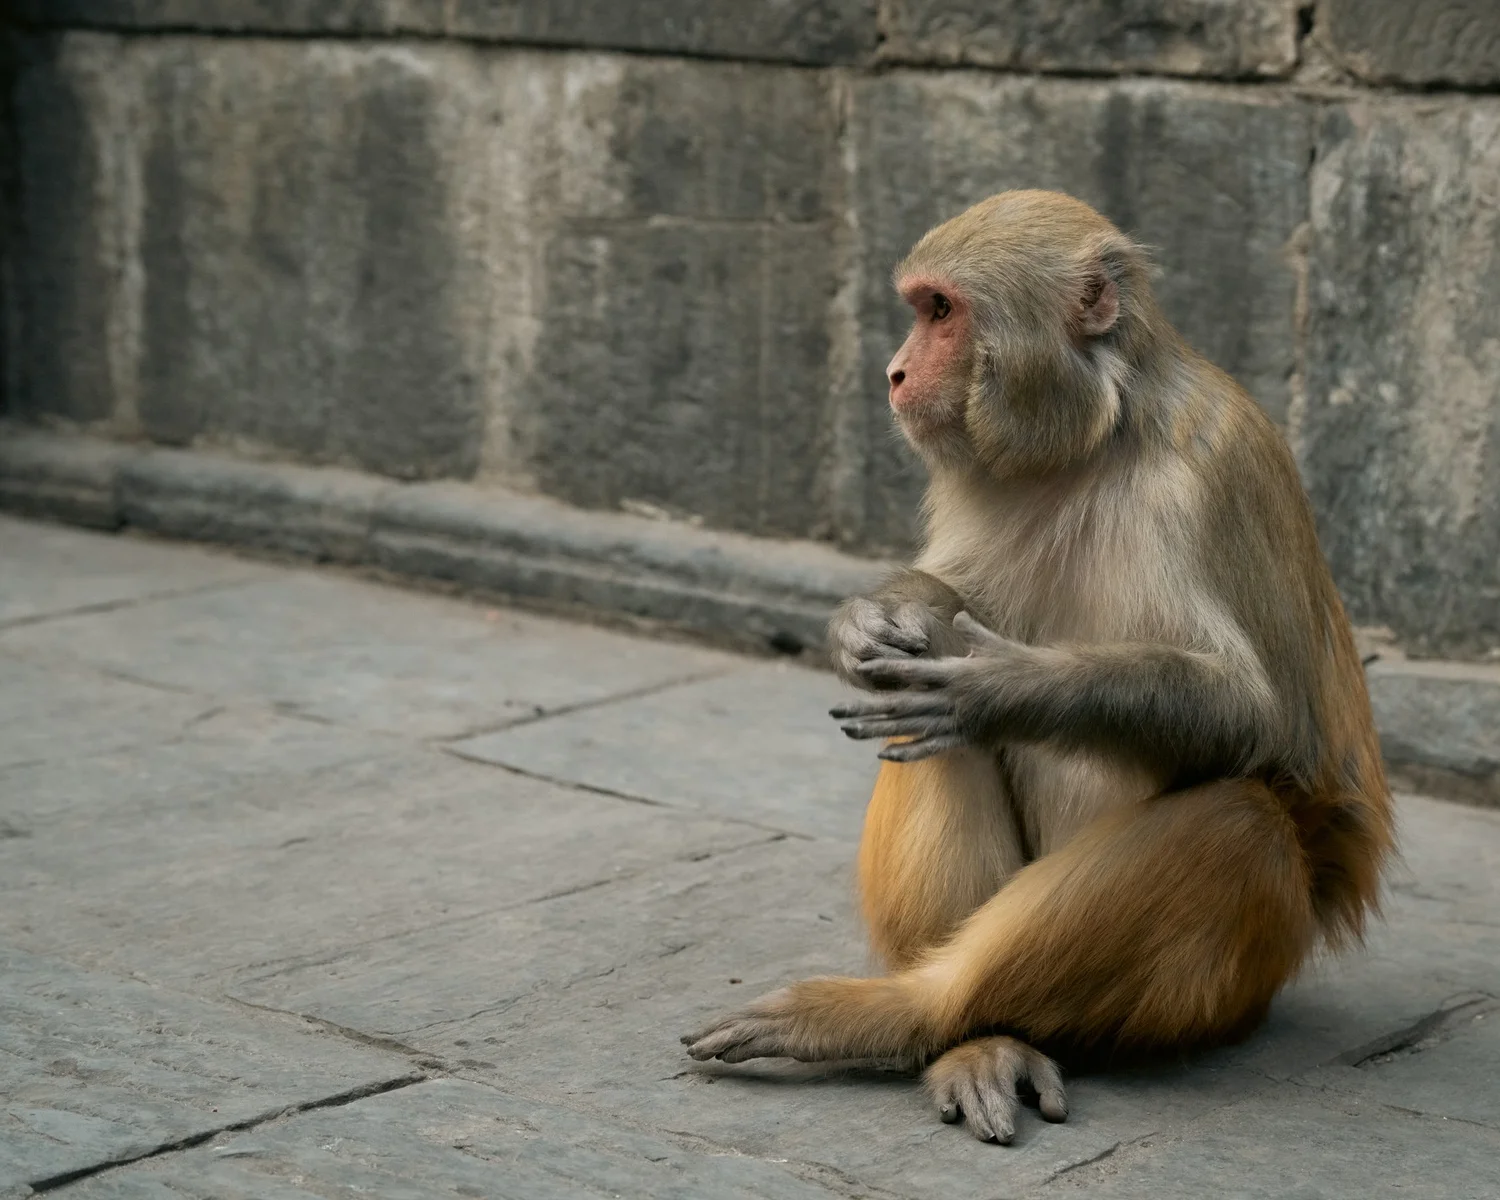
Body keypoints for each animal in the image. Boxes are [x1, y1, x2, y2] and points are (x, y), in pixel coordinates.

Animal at [681, 190, 1392, 1144]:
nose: (894, 374)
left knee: (1241, 821)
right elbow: (934, 606)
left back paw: (906, 1013)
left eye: (941, 311)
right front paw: (867, 624)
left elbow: (1253, 714)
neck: (1097, 437)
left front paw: (999, 690)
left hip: (1232, 983)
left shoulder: (1201, 477)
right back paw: (970, 1041)